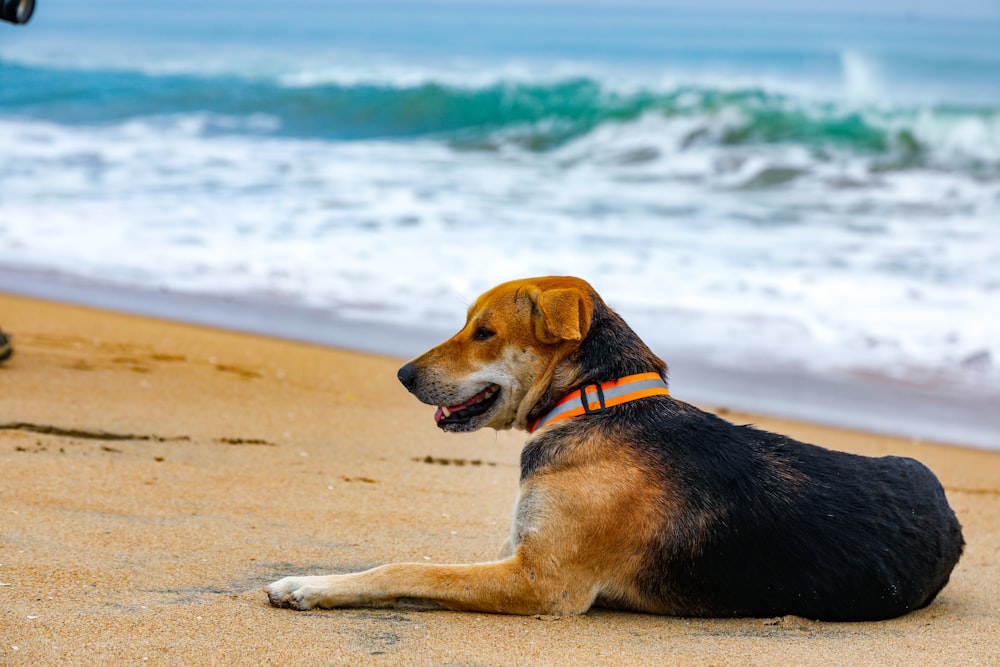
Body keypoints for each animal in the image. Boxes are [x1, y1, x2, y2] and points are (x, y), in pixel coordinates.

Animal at [264, 276, 960, 620]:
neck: (594, 401)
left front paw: (311, 586)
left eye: (484, 332)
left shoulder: (542, 583)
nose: (403, 374)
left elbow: (407, 568)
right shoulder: (519, 552)